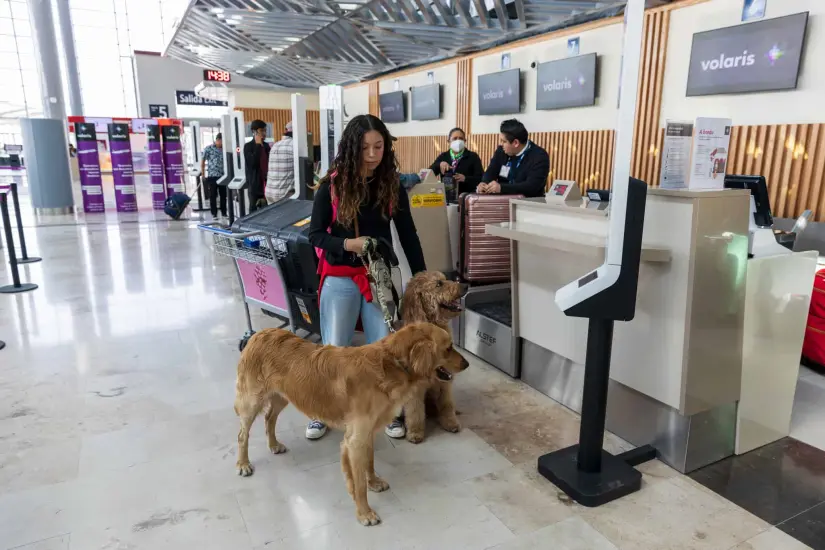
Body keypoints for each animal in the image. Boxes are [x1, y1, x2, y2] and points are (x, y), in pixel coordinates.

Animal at [233, 326, 464, 528]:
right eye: (449, 347)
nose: (467, 364)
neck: (391, 363)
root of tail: (258, 334)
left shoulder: (368, 432)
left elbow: (370, 463)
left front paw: (374, 482)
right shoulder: (354, 440)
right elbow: (358, 483)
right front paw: (365, 513)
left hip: (282, 396)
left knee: (269, 418)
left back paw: (273, 445)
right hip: (252, 401)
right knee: (242, 434)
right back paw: (243, 464)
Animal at [400, 272, 470, 444]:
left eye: (444, 279)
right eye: (439, 284)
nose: (466, 285)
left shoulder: (445, 382)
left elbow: (447, 405)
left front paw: (450, 422)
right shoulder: (415, 389)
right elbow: (415, 411)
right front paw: (415, 432)